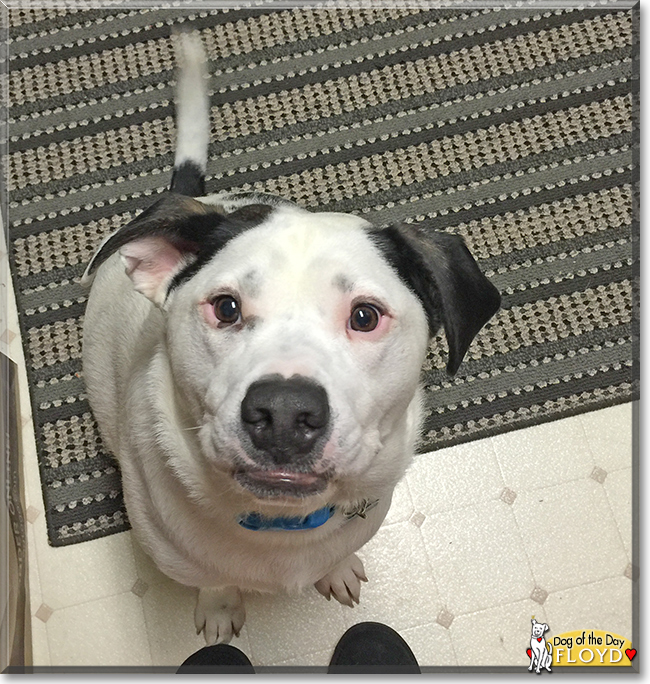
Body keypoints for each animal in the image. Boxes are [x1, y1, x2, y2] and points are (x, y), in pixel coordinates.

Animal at [78, 36, 498, 648]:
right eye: (226, 307)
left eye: (365, 316)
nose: (281, 413)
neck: (281, 526)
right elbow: (212, 580)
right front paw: (221, 603)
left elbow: (338, 552)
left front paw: (336, 567)